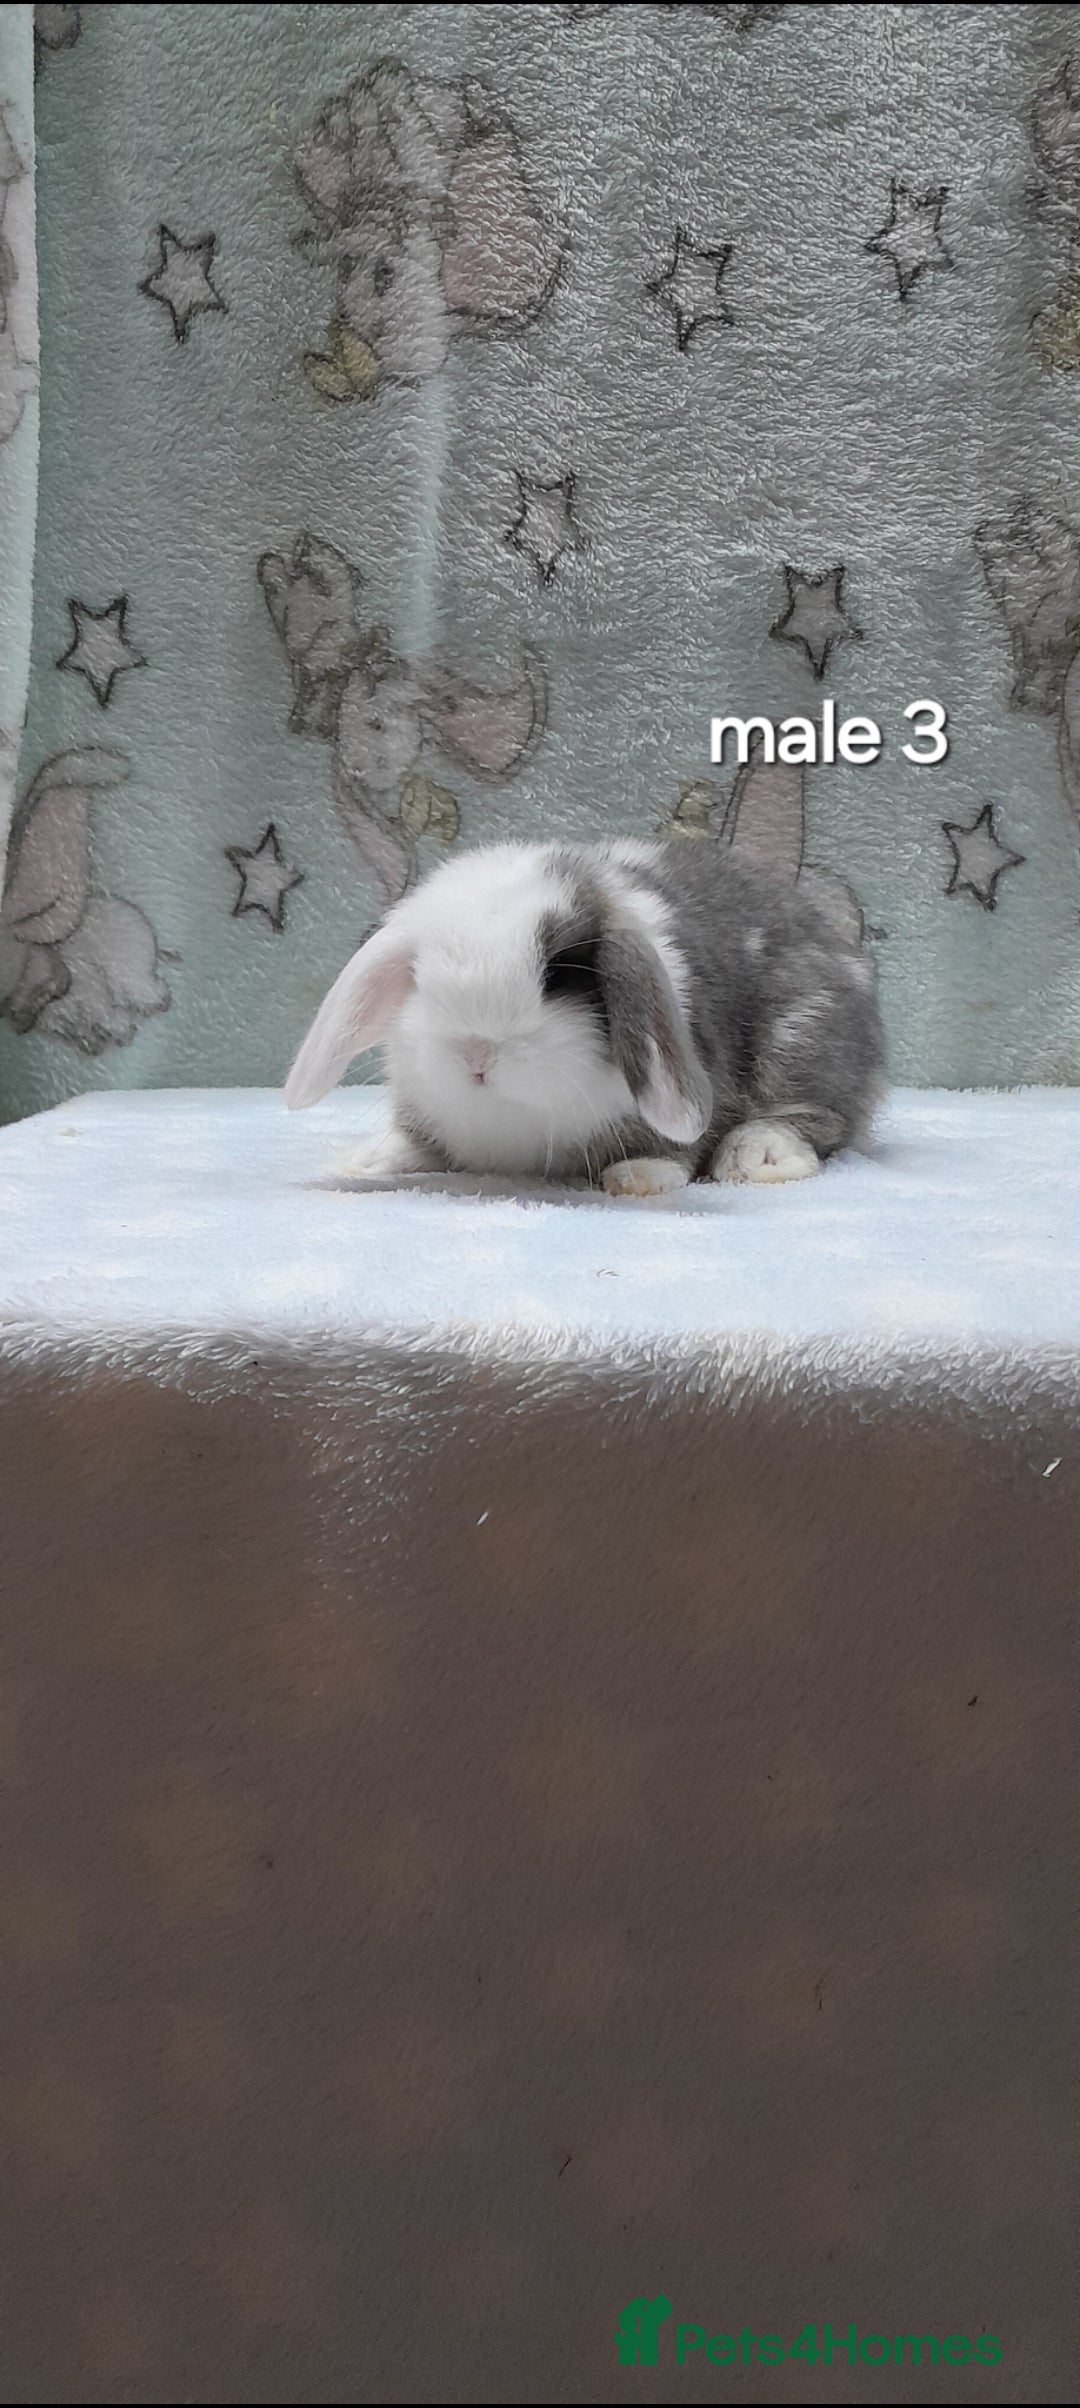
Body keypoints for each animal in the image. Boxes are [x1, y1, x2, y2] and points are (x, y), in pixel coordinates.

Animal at [284, 837, 885, 1195]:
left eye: (559, 972)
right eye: (417, 976)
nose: (475, 1053)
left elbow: (678, 1143)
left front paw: (640, 1177)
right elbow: (415, 1143)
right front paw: (366, 1160)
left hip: (803, 1038)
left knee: (811, 1115)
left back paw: (758, 1157)